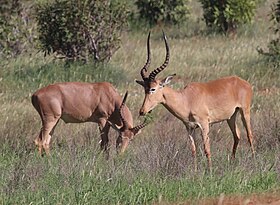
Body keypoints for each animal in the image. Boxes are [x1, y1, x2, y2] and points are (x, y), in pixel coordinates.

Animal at [137, 32, 255, 170]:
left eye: (153, 89)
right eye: (144, 88)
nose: (142, 111)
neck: (187, 99)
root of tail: (243, 82)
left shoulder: (204, 125)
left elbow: (207, 149)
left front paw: (210, 171)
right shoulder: (190, 128)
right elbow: (193, 151)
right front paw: (195, 171)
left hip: (244, 112)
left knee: (249, 135)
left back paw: (254, 160)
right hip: (231, 116)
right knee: (237, 135)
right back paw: (232, 162)